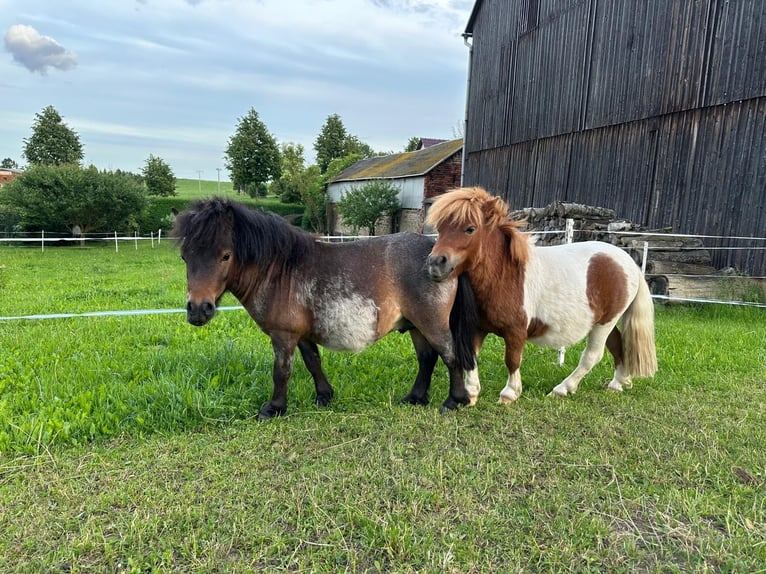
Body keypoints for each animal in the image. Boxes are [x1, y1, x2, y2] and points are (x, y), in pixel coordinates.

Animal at [172, 198, 477, 420]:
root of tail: (438, 254)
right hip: (415, 325)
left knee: (449, 356)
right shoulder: (302, 334)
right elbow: (313, 362)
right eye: (184, 256)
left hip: (431, 323)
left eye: (225, 256)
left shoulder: (283, 336)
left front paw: (274, 408)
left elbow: (281, 371)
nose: (198, 309)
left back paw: (454, 401)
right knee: (427, 359)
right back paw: (415, 398)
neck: (281, 270)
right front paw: (324, 395)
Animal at [425, 186, 657, 404]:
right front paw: (471, 395)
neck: (504, 274)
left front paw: (509, 394)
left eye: (470, 229)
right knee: (618, 345)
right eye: (440, 229)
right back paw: (617, 383)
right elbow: (471, 358)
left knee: (592, 356)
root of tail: (629, 262)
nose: (435, 263)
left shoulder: (516, 331)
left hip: (605, 323)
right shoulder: (479, 328)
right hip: (603, 322)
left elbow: (512, 360)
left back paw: (562, 389)